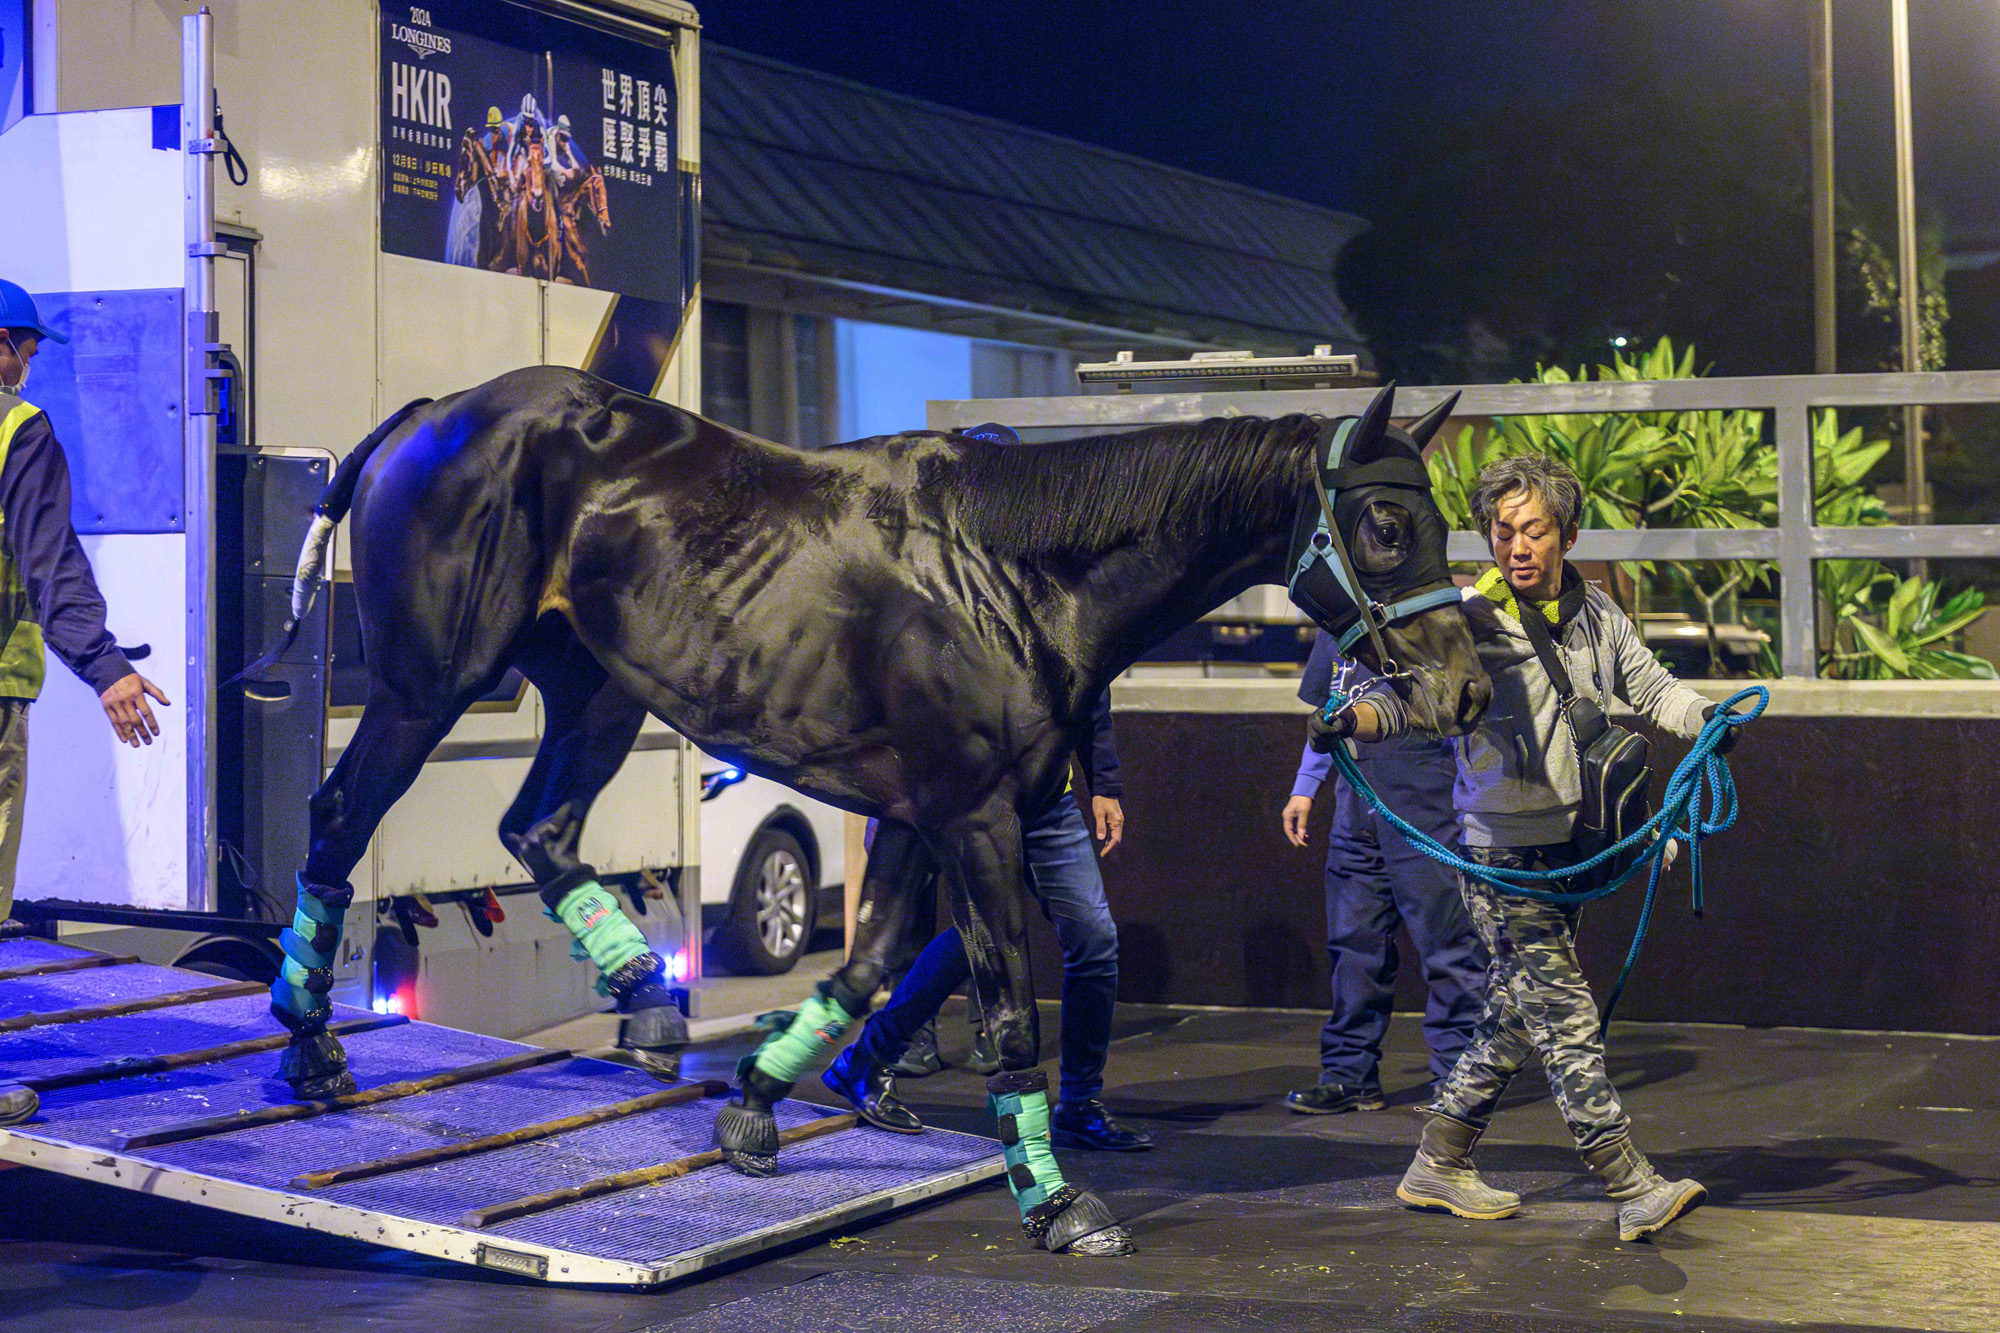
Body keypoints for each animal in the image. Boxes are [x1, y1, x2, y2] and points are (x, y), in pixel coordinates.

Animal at [266, 366, 1488, 1256]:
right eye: (1386, 526)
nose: (1463, 689)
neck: (1007, 576)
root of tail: (434, 415)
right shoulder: (977, 817)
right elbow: (1007, 1013)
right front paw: (1055, 1201)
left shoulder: (915, 812)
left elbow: (867, 964)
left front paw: (757, 1101)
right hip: (429, 685)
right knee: (338, 814)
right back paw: (311, 1042)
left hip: (596, 689)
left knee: (539, 832)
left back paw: (641, 993)